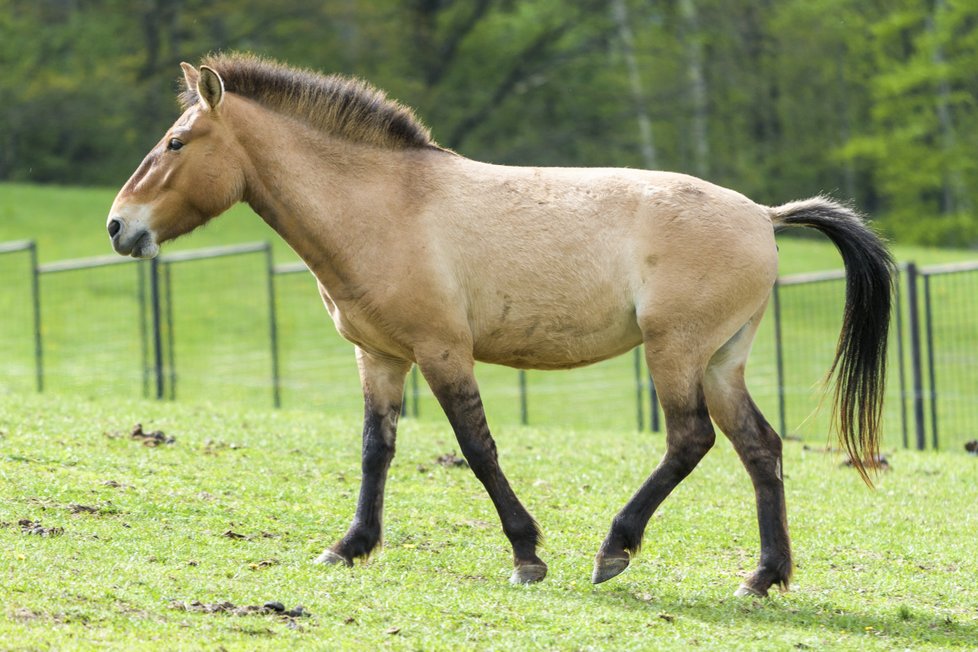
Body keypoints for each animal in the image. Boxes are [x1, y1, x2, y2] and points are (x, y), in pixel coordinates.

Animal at [107, 54, 892, 596]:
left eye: (176, 143)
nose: (119, 226)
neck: (385, 205)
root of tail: (763, 214)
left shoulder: (443, 352)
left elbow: (477, 448)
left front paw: (527, 554)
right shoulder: (380, 358)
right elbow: (375, 451)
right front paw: (350, 545)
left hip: (677, 352)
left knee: (690, 438)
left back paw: (615, 549)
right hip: (722, 360)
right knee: (759, 447)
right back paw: (762, 577)